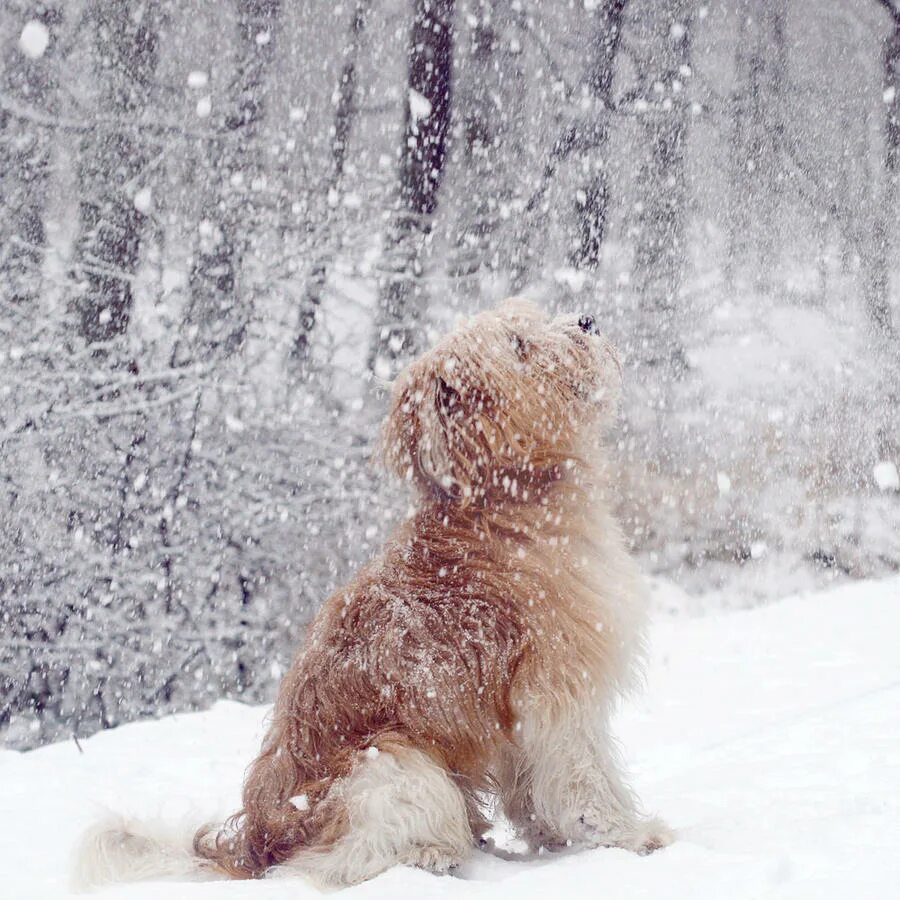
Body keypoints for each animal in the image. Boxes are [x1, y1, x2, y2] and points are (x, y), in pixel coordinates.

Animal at [75, 300, 668, 884]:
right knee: (340, 860)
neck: (504, 500)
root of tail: (254, 843)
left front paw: (551, 837)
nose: (586, 320)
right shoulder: (557, 687)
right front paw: (629, 836)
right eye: (518, 345)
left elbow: (531, 788)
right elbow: (584, 777)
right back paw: (435, 853)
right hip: (393, 763)